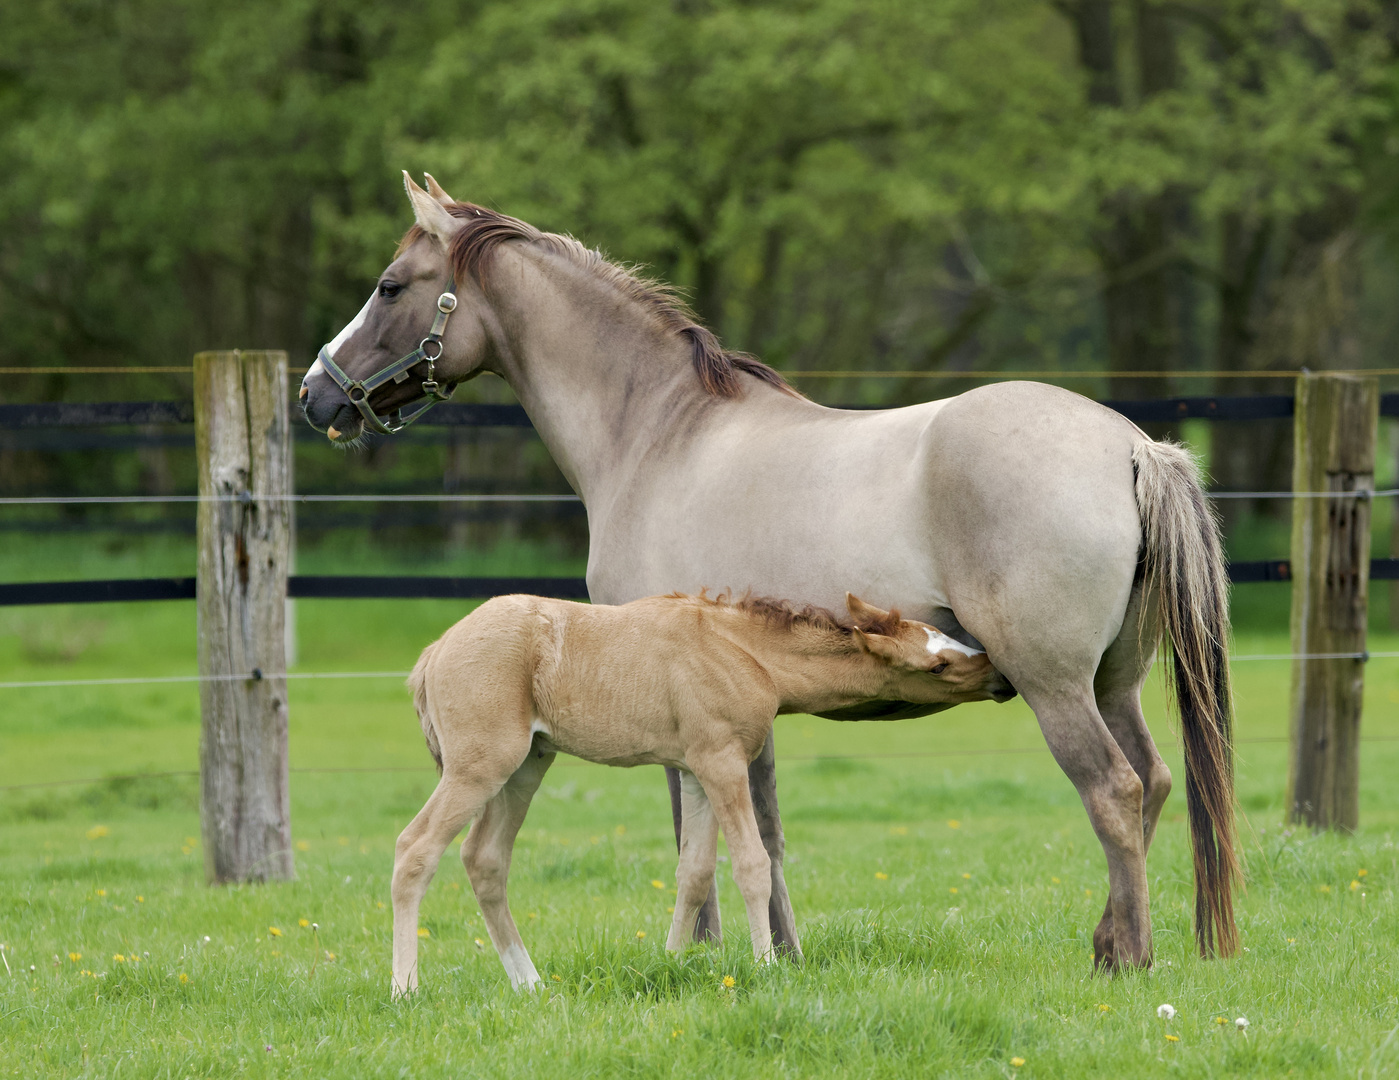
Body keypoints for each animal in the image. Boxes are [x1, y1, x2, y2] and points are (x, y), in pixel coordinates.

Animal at [388, 590, 1012, 996]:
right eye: (938, 664)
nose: (1002, 677)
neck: (746, 652)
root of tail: (434, 652)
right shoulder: (723, 761)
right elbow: (752, 864)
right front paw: (766, 968)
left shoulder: (694, 771)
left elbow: (693, 873)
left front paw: (667, 964)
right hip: (479, 766)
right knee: (415, 849)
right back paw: (406, 990)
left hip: (526, 766)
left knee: (485, 859)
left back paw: (530, 983)